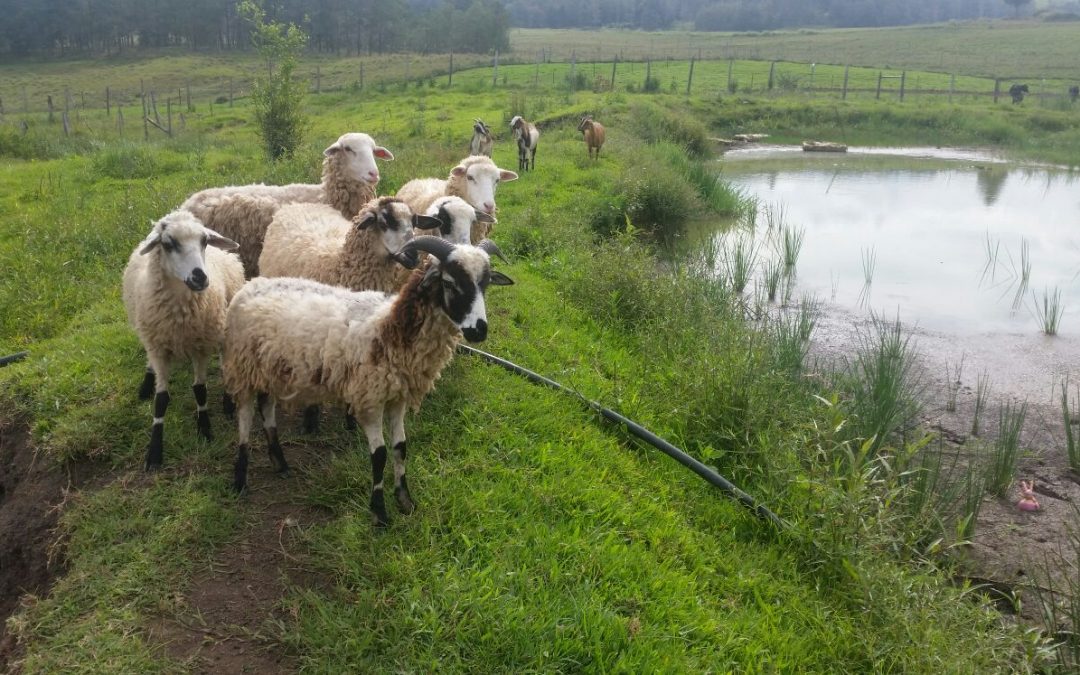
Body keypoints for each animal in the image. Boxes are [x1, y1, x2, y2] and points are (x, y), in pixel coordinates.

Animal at [121, 209, 244, 468]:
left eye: (204, 241)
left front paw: (204, 428)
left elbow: (200, 389)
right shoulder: (158, 346)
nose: (200, 278)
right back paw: (146, 382)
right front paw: (155, 451)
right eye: (168, 244)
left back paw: (228, 402)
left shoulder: (200, 346)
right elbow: (161, 399)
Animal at [223, 236, 514, 527]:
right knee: (245, 416)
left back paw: (280, 463)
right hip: (243, 368)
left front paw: (405, 501)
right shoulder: (369, 400)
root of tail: (249, 286)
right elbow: (380, 455)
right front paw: (379, 512)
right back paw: (240, 478)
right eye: (449, 283)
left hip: (271, 369)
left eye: (485, 284)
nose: (479, 330)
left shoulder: (397, 397)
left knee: (267, 408)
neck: (391, 328)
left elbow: (400, 447)